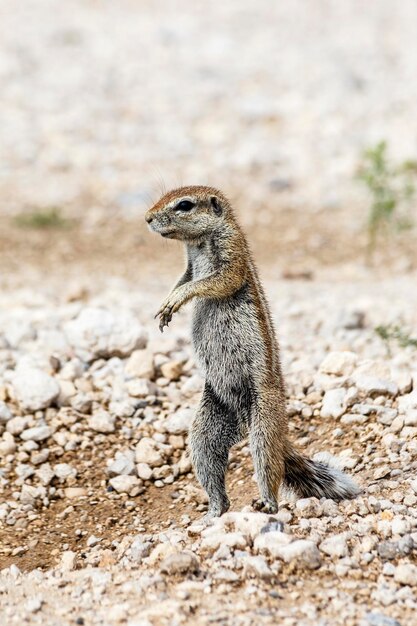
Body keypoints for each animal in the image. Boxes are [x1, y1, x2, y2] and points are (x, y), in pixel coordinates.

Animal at [145, 185, 360, 516]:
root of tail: (243, 423)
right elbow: (183, 278)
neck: (199, 242)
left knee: (268, 463)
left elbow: (215, 281)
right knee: (210, 463)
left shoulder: (232, 255)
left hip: (264, 421)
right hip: (208, 424)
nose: (147, 218)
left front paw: (177, 299)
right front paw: (166, 302)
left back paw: (267, 503)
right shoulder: (189, 266)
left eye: (184, 205)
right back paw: (214, 511)